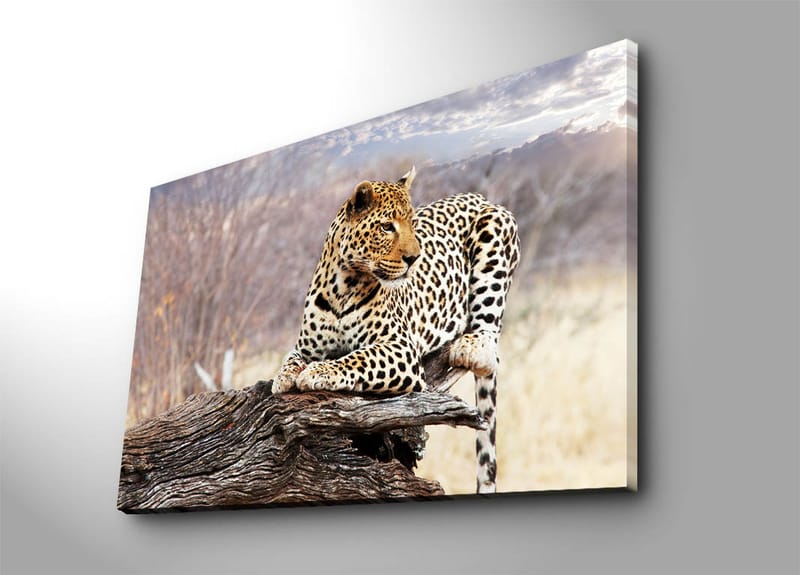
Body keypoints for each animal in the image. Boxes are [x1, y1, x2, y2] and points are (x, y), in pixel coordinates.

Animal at [272, 167, 520, 494]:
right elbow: (291, 358)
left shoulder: (400, 348)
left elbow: (357, 358)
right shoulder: (306, 346)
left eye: (412, 224)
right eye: (387, 227)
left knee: (490, 340)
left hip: (494, 235)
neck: (343, 285)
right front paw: (283, 378)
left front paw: (318, 372)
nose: (414, 258)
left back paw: (472, 346)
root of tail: (478, 196)